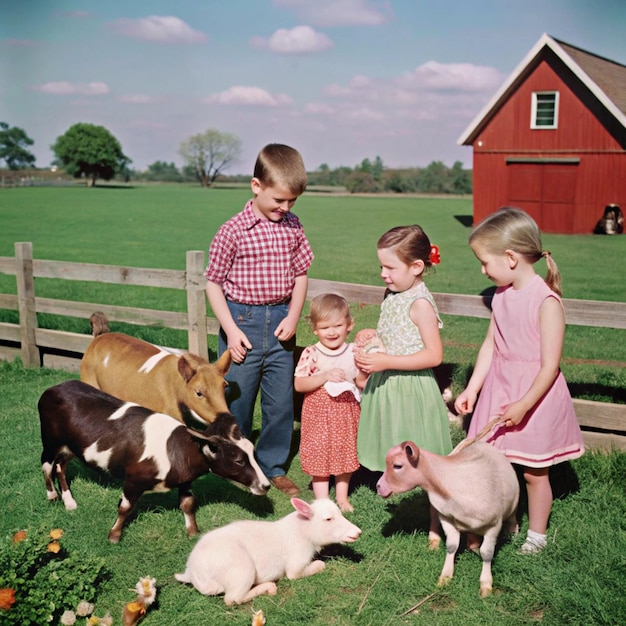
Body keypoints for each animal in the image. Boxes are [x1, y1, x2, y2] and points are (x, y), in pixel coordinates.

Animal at [38, 378, 268, 540]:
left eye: (253, 452)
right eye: (238, 459)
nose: (265, 485)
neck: (176, 450)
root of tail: (55, 388)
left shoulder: (185, 480)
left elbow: (188, 504)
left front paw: (193, 532)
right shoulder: (133, 479)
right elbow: (125, 507)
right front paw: (114, 535)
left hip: (70, 447)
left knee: (61, 466)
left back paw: (69, 502)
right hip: (50, 441)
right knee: (47, 464)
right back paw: (52, 496)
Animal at [376, 438, 516, 596]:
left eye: (398, 466)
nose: (378, 487)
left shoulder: (494, 525)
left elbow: (487, 553)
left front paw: (486, 585)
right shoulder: (446, 518)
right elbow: (451, 546)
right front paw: (445, 577)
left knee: (512, 516)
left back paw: (512, 531)